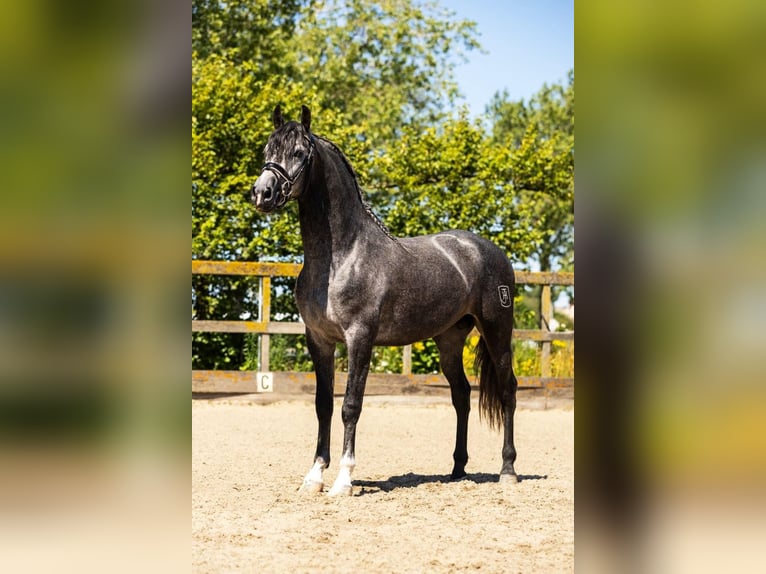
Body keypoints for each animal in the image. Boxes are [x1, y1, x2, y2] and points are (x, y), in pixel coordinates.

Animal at [252, 106, 520, 498]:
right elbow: (322, 405)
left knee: (507, 391)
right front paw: (314, 476)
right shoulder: (319, 340)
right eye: (267, 150)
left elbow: (351, 406)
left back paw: (508, 470)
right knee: (461, 395)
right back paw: (457, 469)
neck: (342, 256)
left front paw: (343, 481)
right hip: (450, 339)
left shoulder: (359, 338)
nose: (262, 193)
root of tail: (489, 251)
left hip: (497, 331)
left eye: (299, 153)